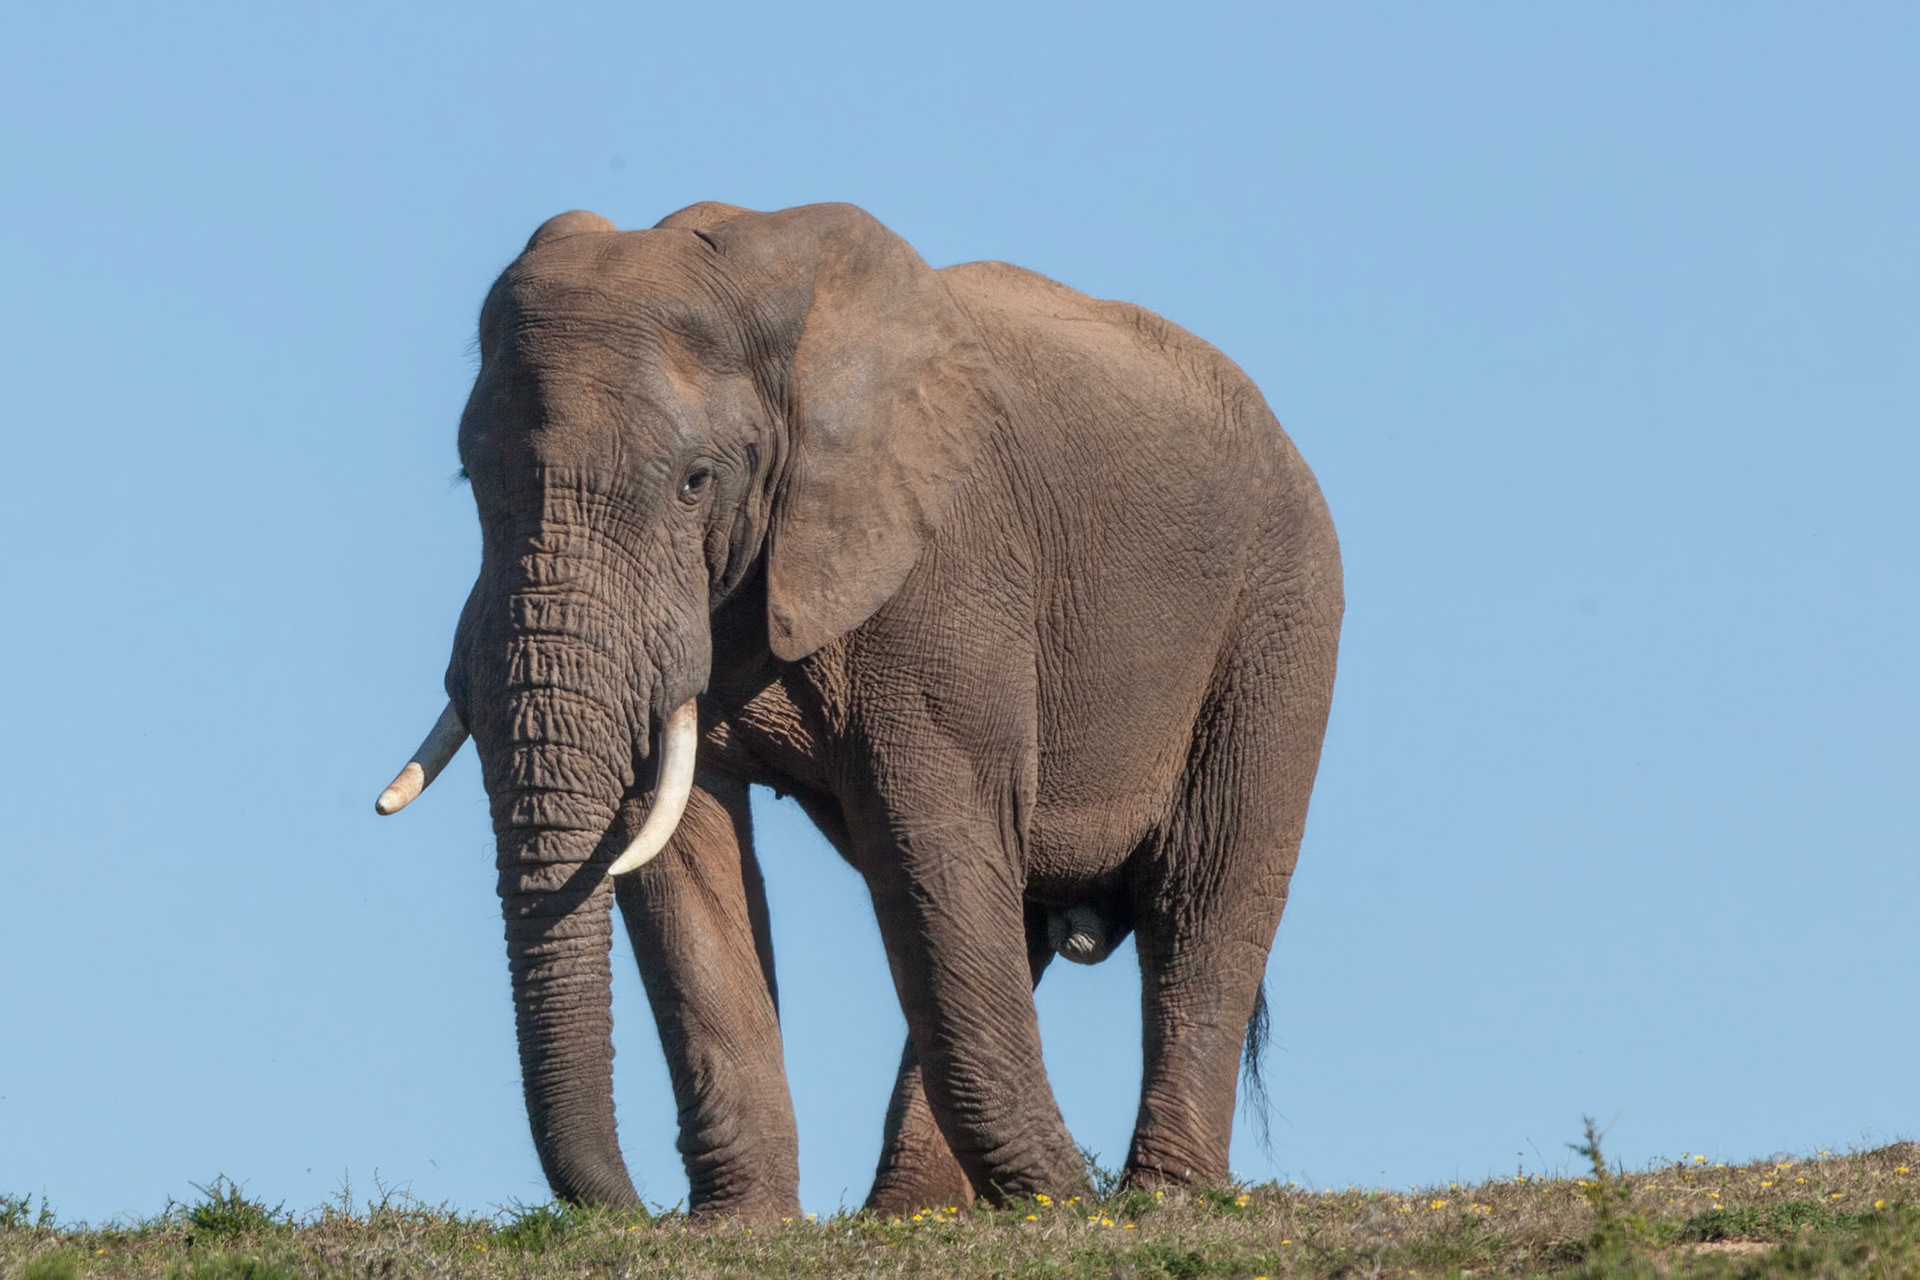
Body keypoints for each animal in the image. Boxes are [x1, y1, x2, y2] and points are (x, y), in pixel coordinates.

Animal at [375, 201, 1343, 1222]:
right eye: (469, 480)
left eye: (694, 481)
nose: (633, 1209)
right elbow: (681, 850)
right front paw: (740, 1229)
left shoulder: (948, 567)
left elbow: (929, 839)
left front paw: (1066, 1205)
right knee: (1016, 918)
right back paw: (923, 1216)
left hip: (1280, 612)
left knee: (1201, 902)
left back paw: (1157, 1202)